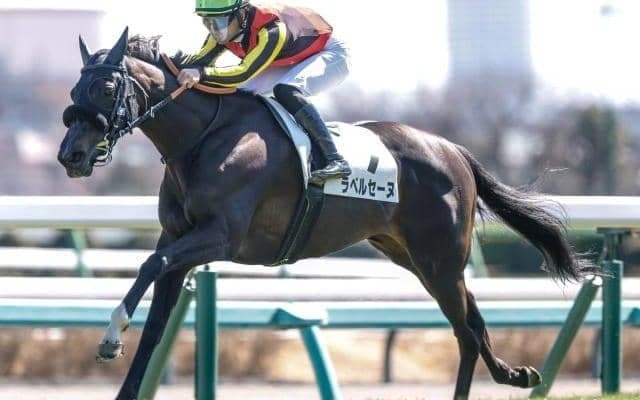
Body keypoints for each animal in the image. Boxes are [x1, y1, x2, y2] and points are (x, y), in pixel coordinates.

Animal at [58, 28, 588, 400]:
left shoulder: (220, 236)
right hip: (417, 258)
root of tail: (452, 148)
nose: (71, 156)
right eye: (73, 90)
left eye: (108, 88)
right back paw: (516, 374)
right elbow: (155, 321)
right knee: (473, 321)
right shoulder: (177, 239)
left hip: (439, 259)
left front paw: (110, 336)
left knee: (465, 332)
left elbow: (149, 267)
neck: (204, 138)